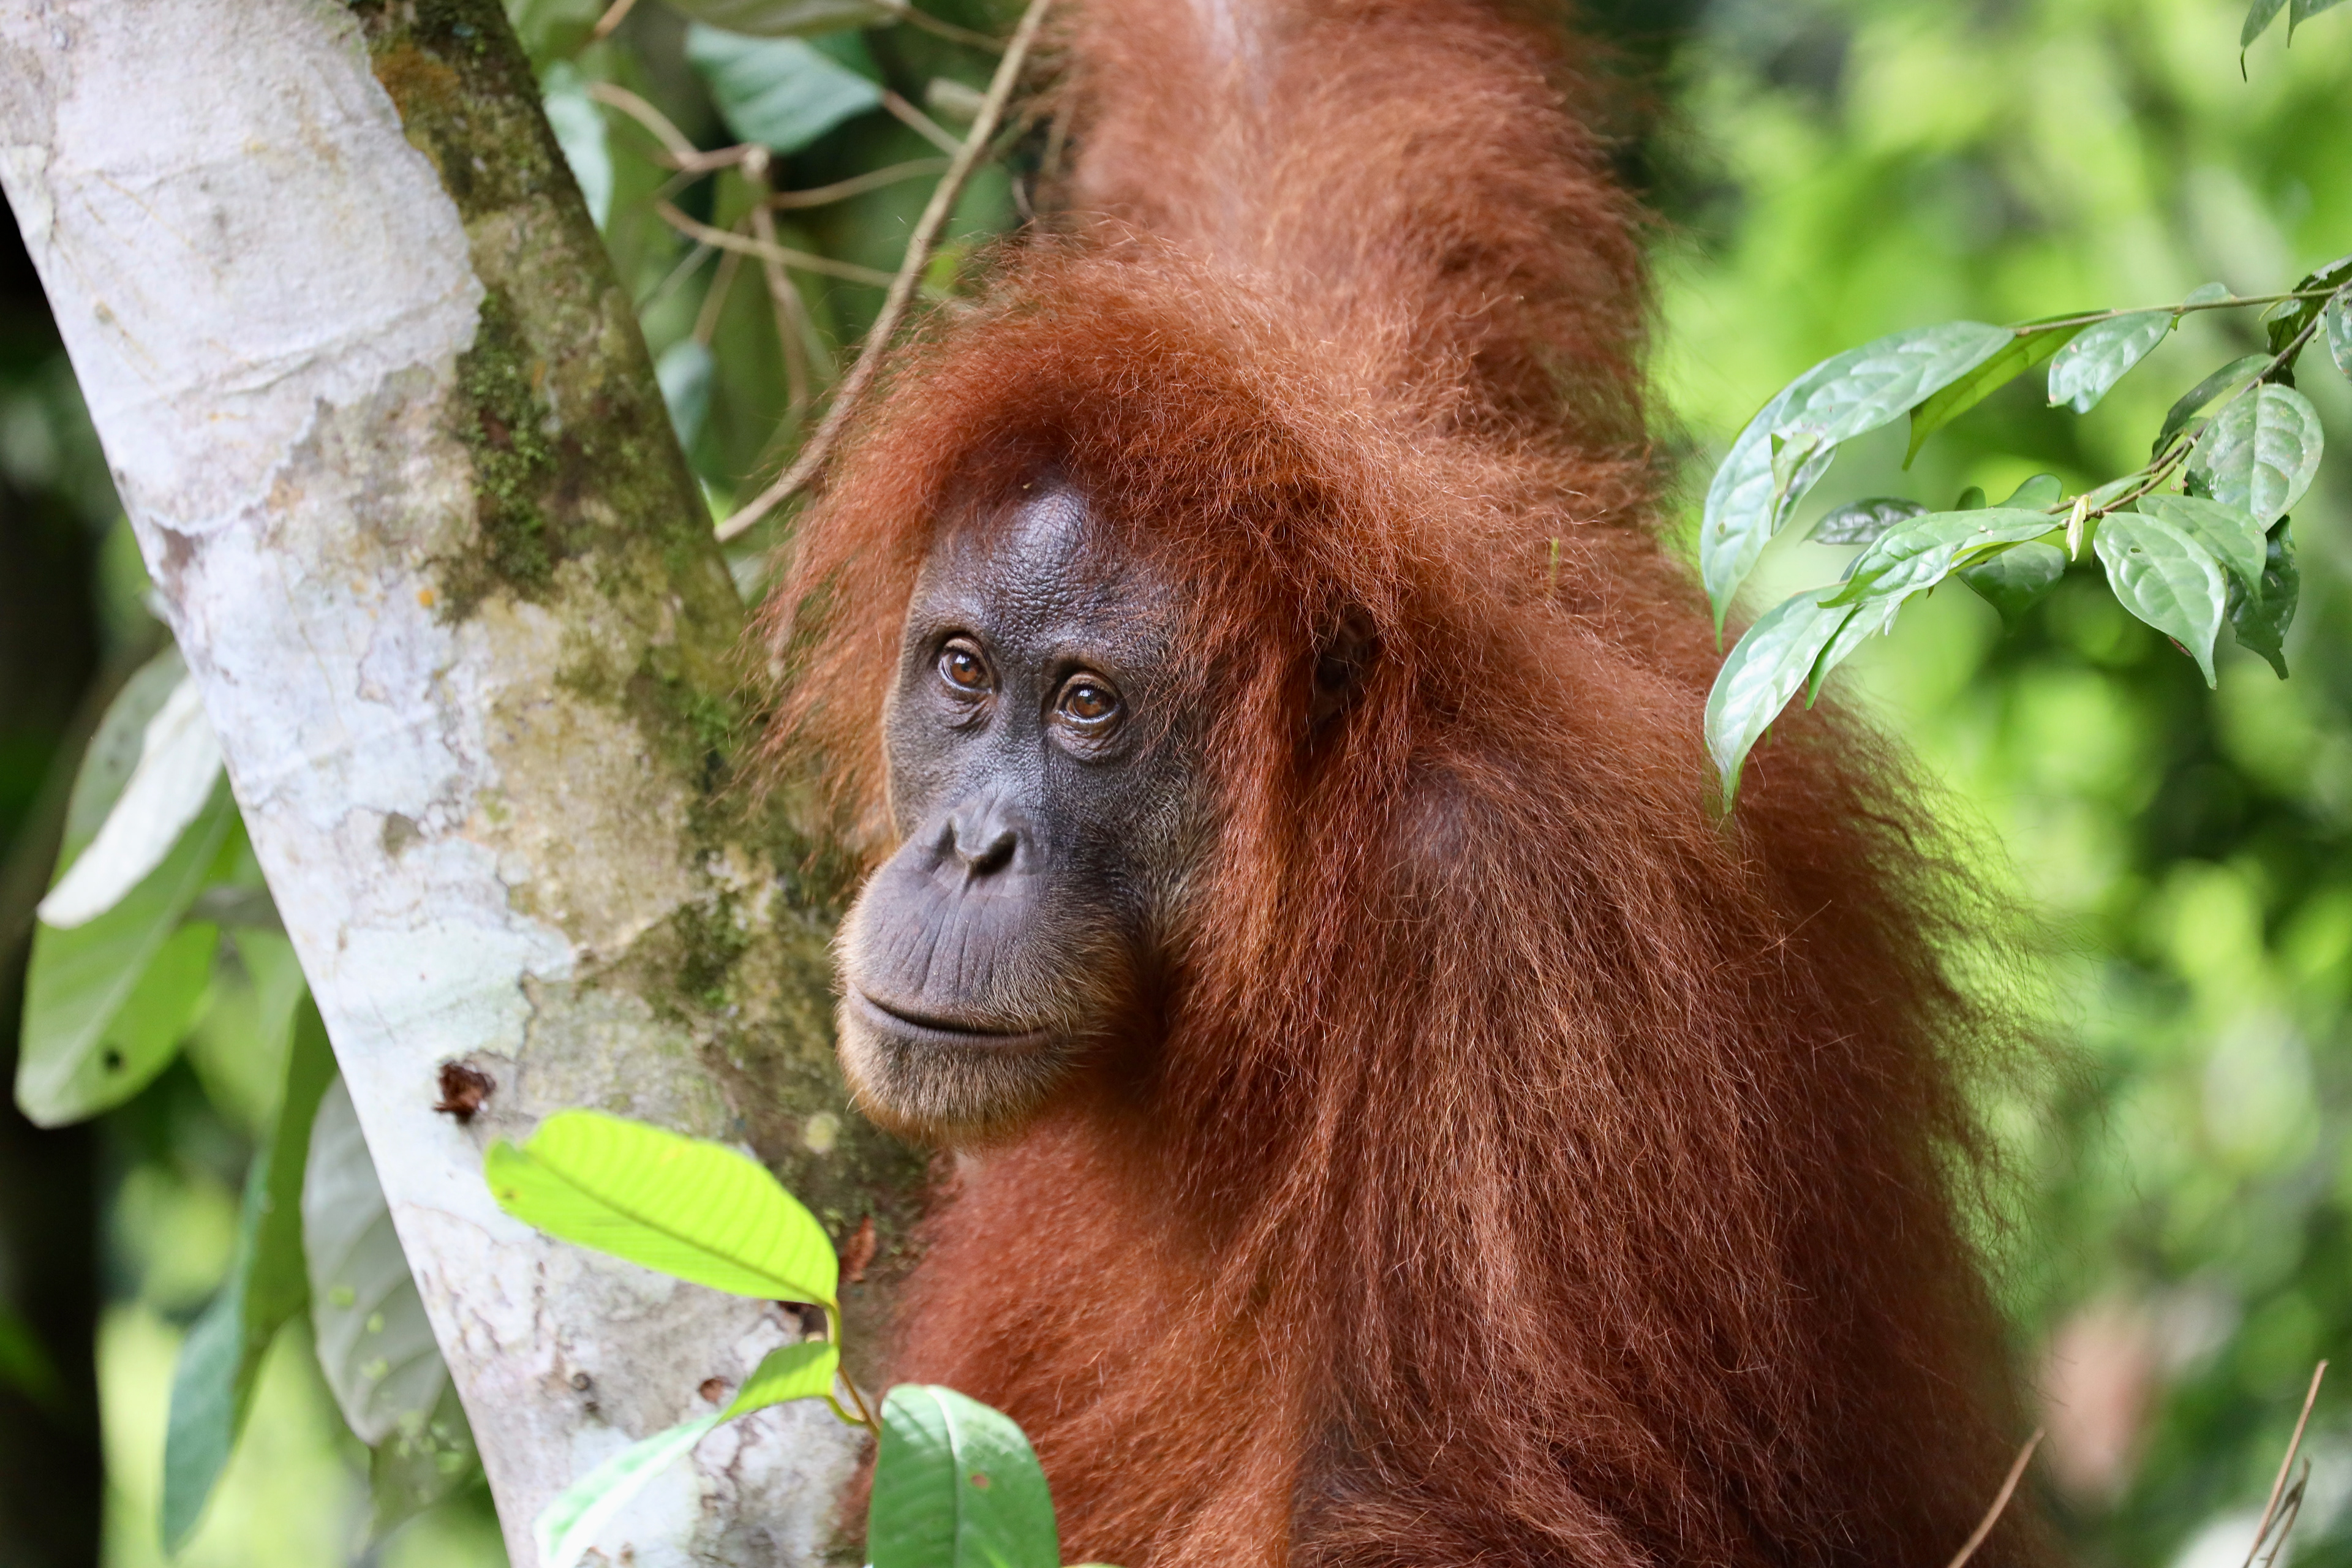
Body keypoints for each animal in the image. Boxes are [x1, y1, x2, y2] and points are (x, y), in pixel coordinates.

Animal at [763, 2, 2046, 1565]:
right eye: (961, 670)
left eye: (1084, 705)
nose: (969, 847)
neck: (1312, 864)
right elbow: (1289, 101)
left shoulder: (1520, 948)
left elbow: (1467, 1508)